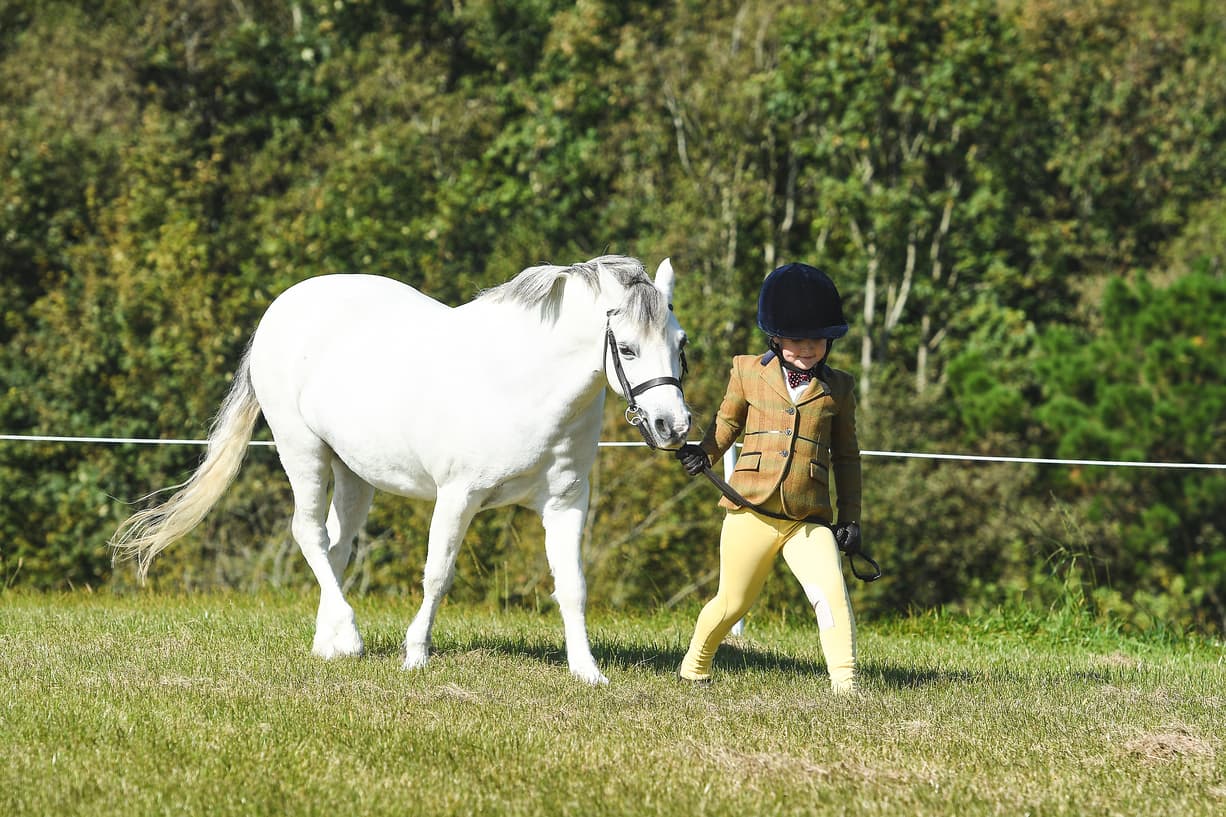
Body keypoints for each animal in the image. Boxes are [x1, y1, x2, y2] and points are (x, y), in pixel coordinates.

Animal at [111, 255, 691, 685]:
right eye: (627, 348)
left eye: (680, 342)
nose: (673, 425)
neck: (519, 380)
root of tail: (284, 305)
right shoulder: (458, 496)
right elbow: (437, 574)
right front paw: (416, 656)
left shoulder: (567, 502)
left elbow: (572, 585)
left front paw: (587, 672)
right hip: (302, 451)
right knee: (308, 534)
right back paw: (349, 636)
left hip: (353, 472)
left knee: (335, 545)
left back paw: (328, 644)